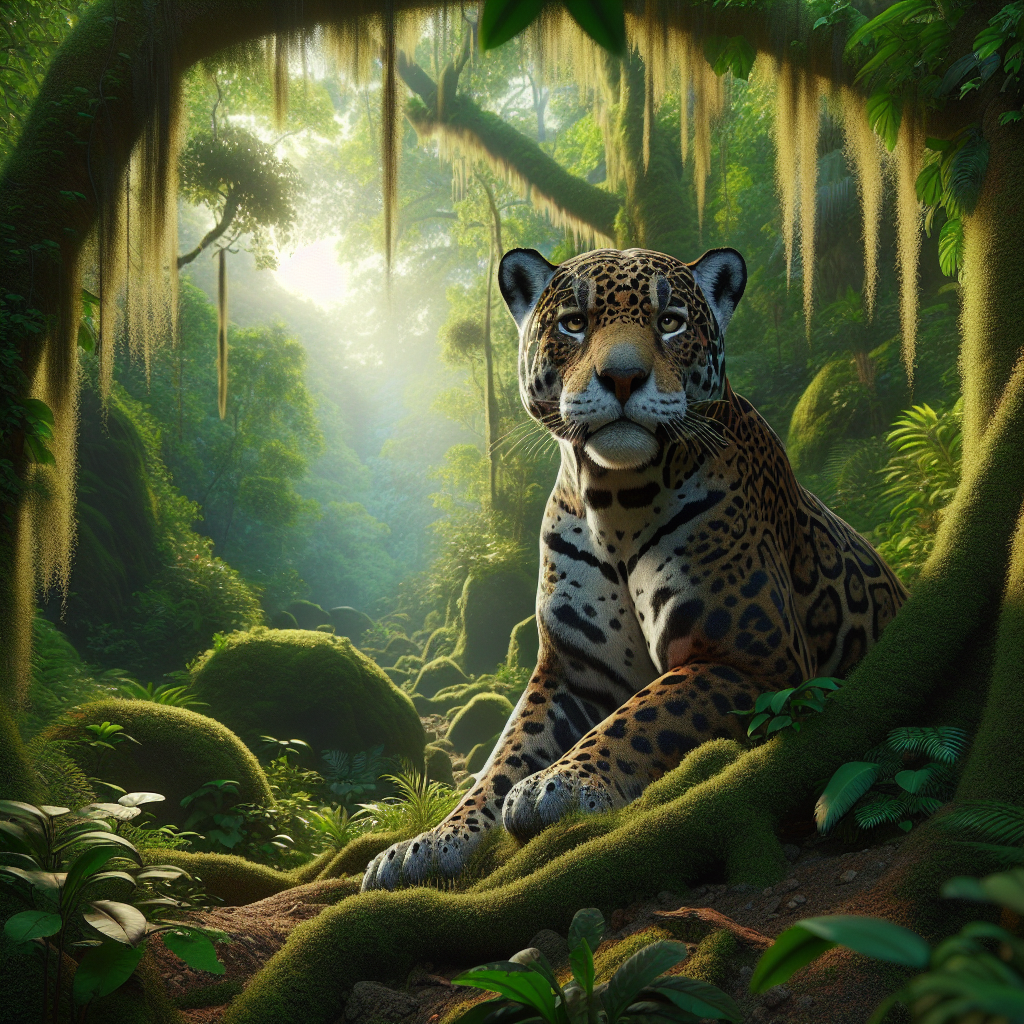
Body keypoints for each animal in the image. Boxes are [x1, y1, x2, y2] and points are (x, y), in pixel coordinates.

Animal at [362, 245, 907, 891]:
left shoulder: (753, 658)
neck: (615, 498)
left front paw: (561, 784)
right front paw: (428, 844)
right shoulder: (573, 669)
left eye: (669, 322)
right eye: (575, 323)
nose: (622, 377)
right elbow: (504, 756)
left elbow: (644, 714)